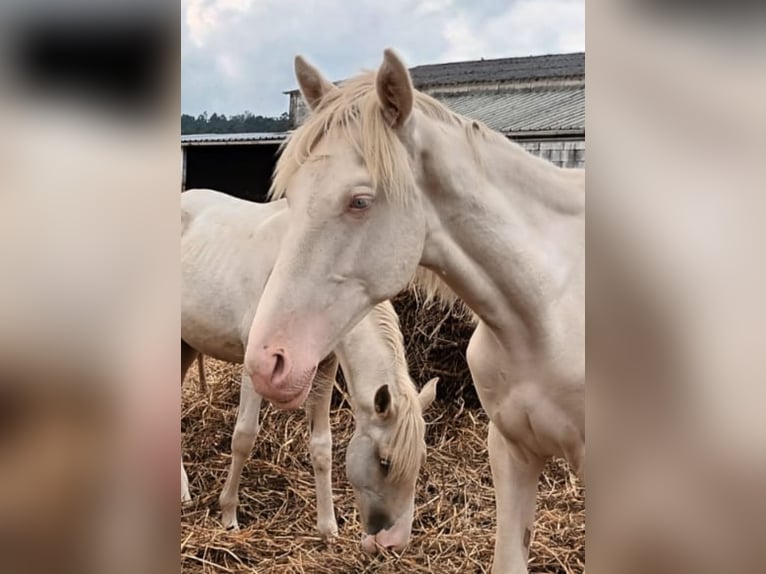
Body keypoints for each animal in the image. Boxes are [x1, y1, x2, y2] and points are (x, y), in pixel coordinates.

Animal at [178, 190, 438, 552]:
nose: (393, 543)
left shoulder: (323, 369)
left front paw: (328, 528)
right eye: (384, 461)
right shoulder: (255, 368)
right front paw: (228, 514)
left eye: (421, 460)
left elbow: (322, 447)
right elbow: (244, 437)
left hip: (186, 345)